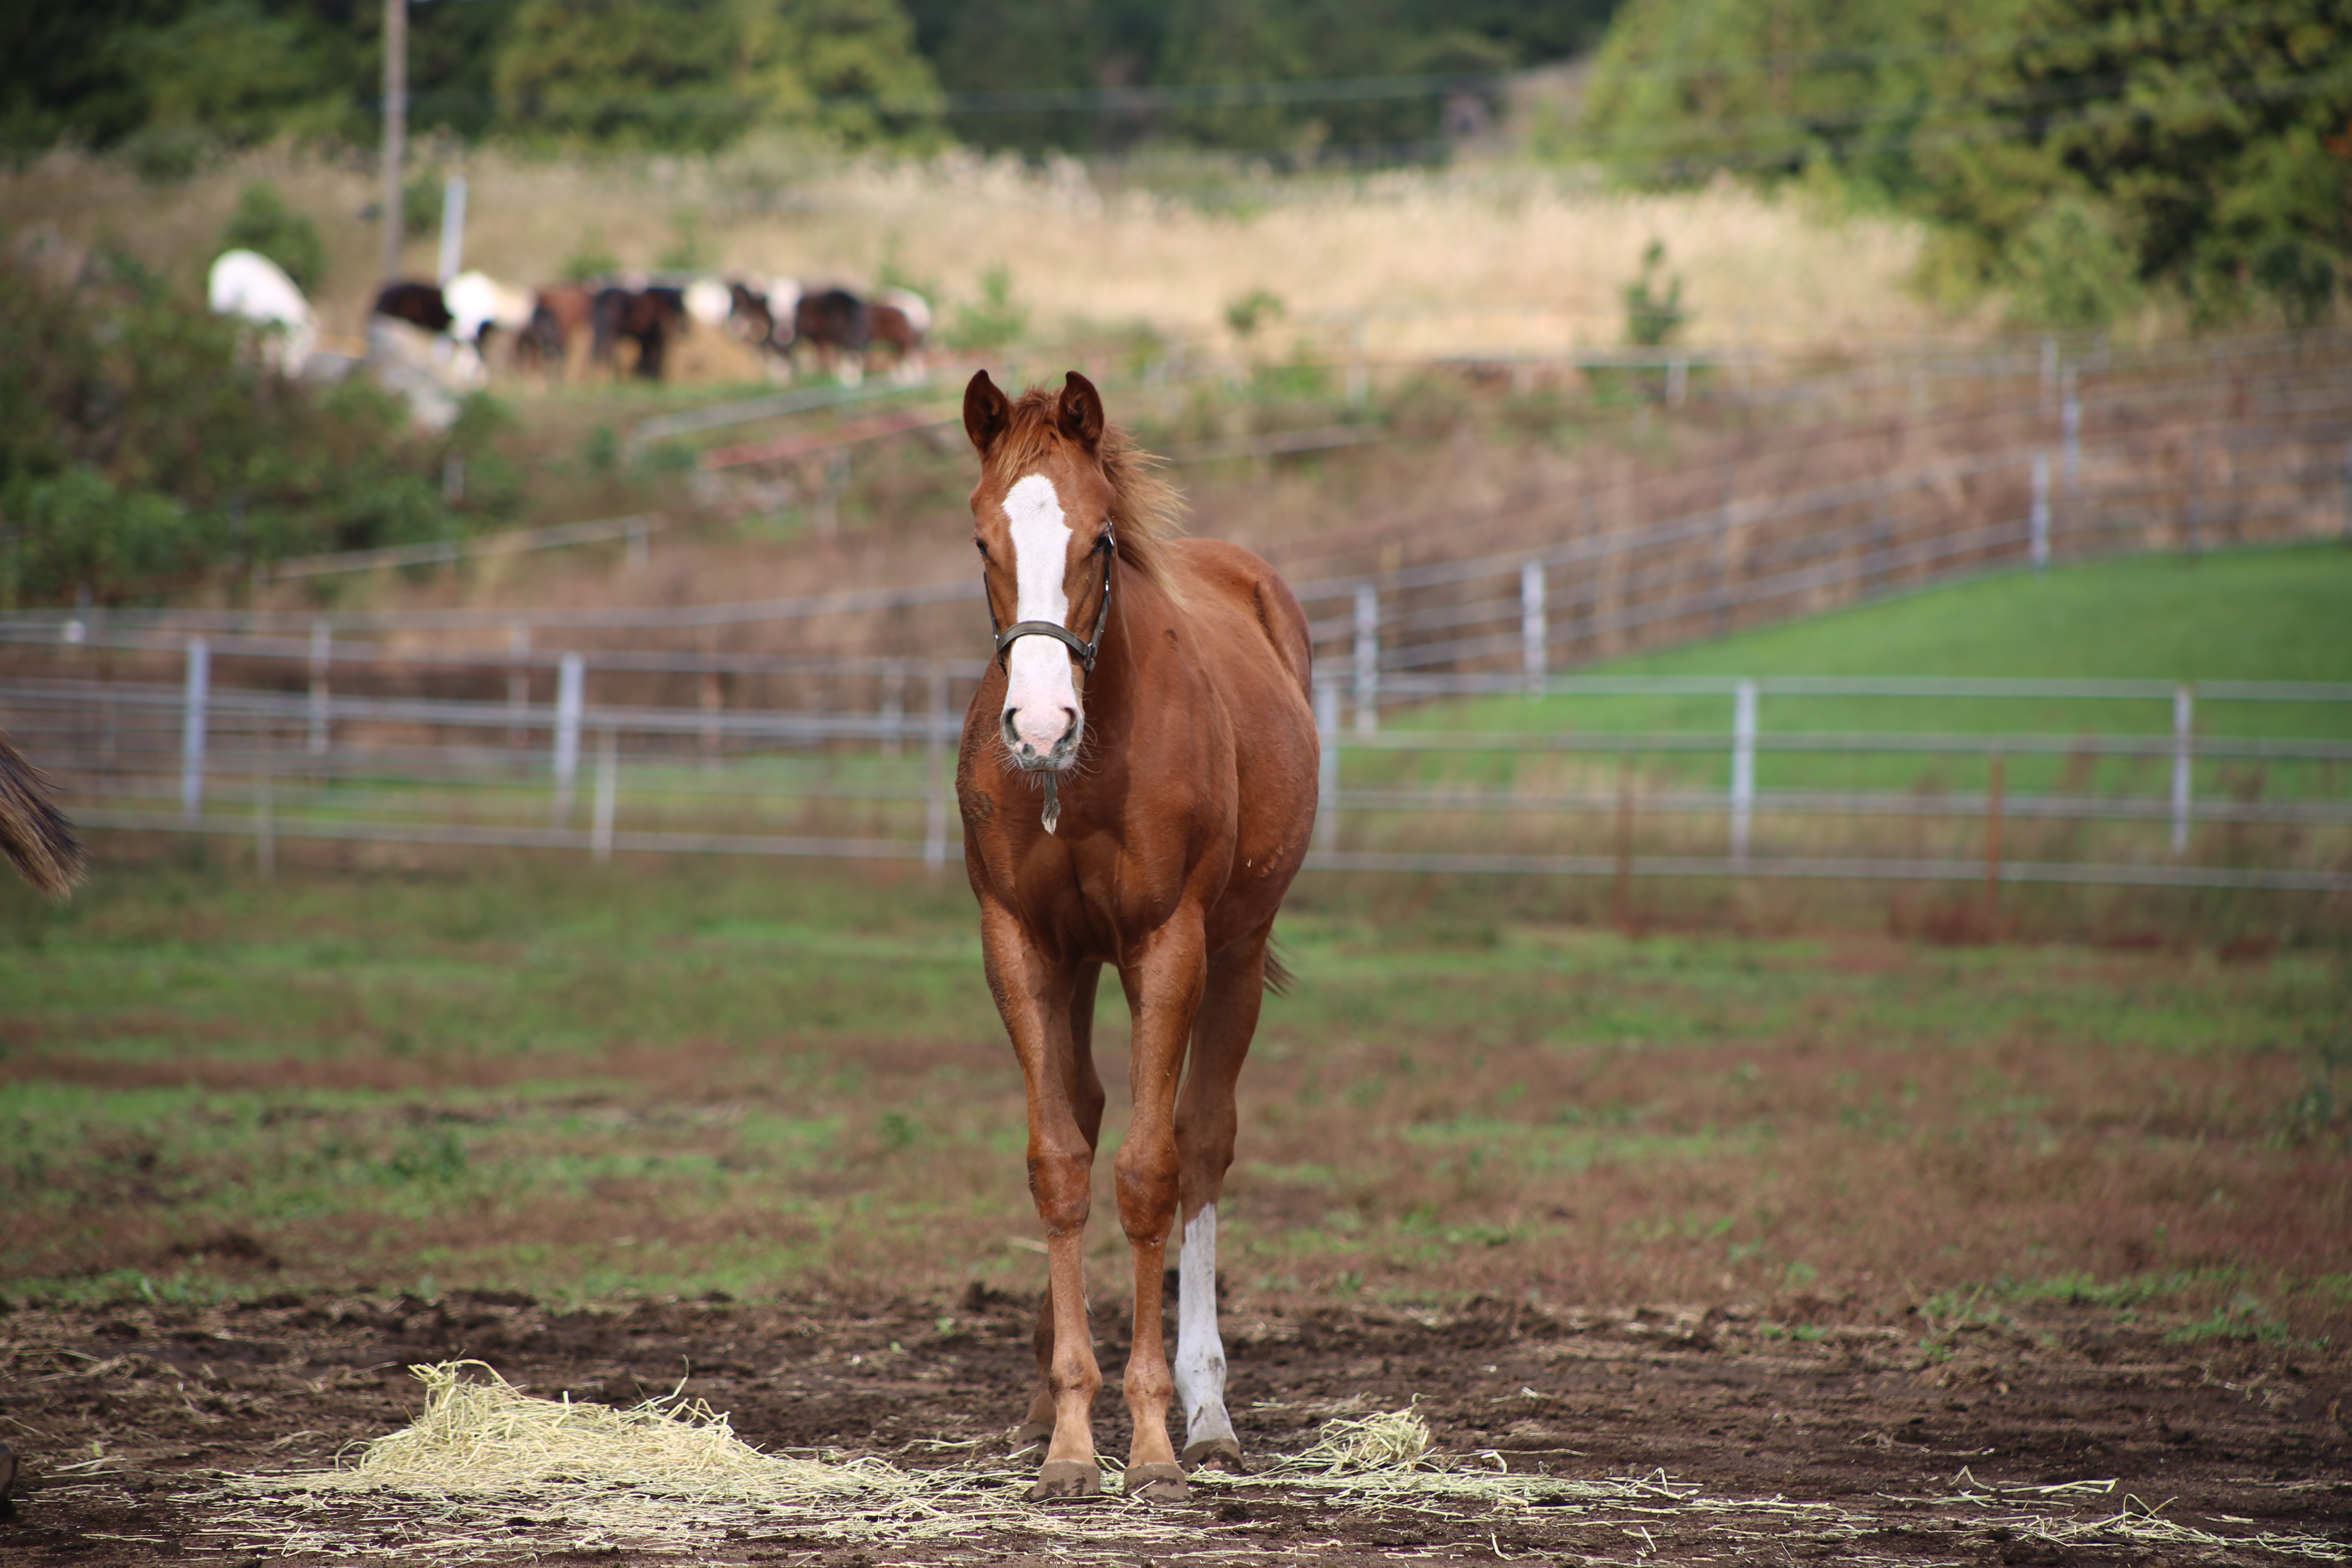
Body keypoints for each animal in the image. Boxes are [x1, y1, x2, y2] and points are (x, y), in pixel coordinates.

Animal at [955, 371, 1326, 1504]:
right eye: (982, 538)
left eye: (1101, 538)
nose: (1037, 725)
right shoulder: (1020, 943)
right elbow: (1059, 1161)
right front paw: (1070, 1436)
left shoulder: (1170, 946)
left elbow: (1151, 1171)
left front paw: (1154, 1434)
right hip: (1081, 964)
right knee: (1081, 1112)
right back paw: (1046, 1402)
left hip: (1236, 955)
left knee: (1205, 1141)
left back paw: (1209, 1414)